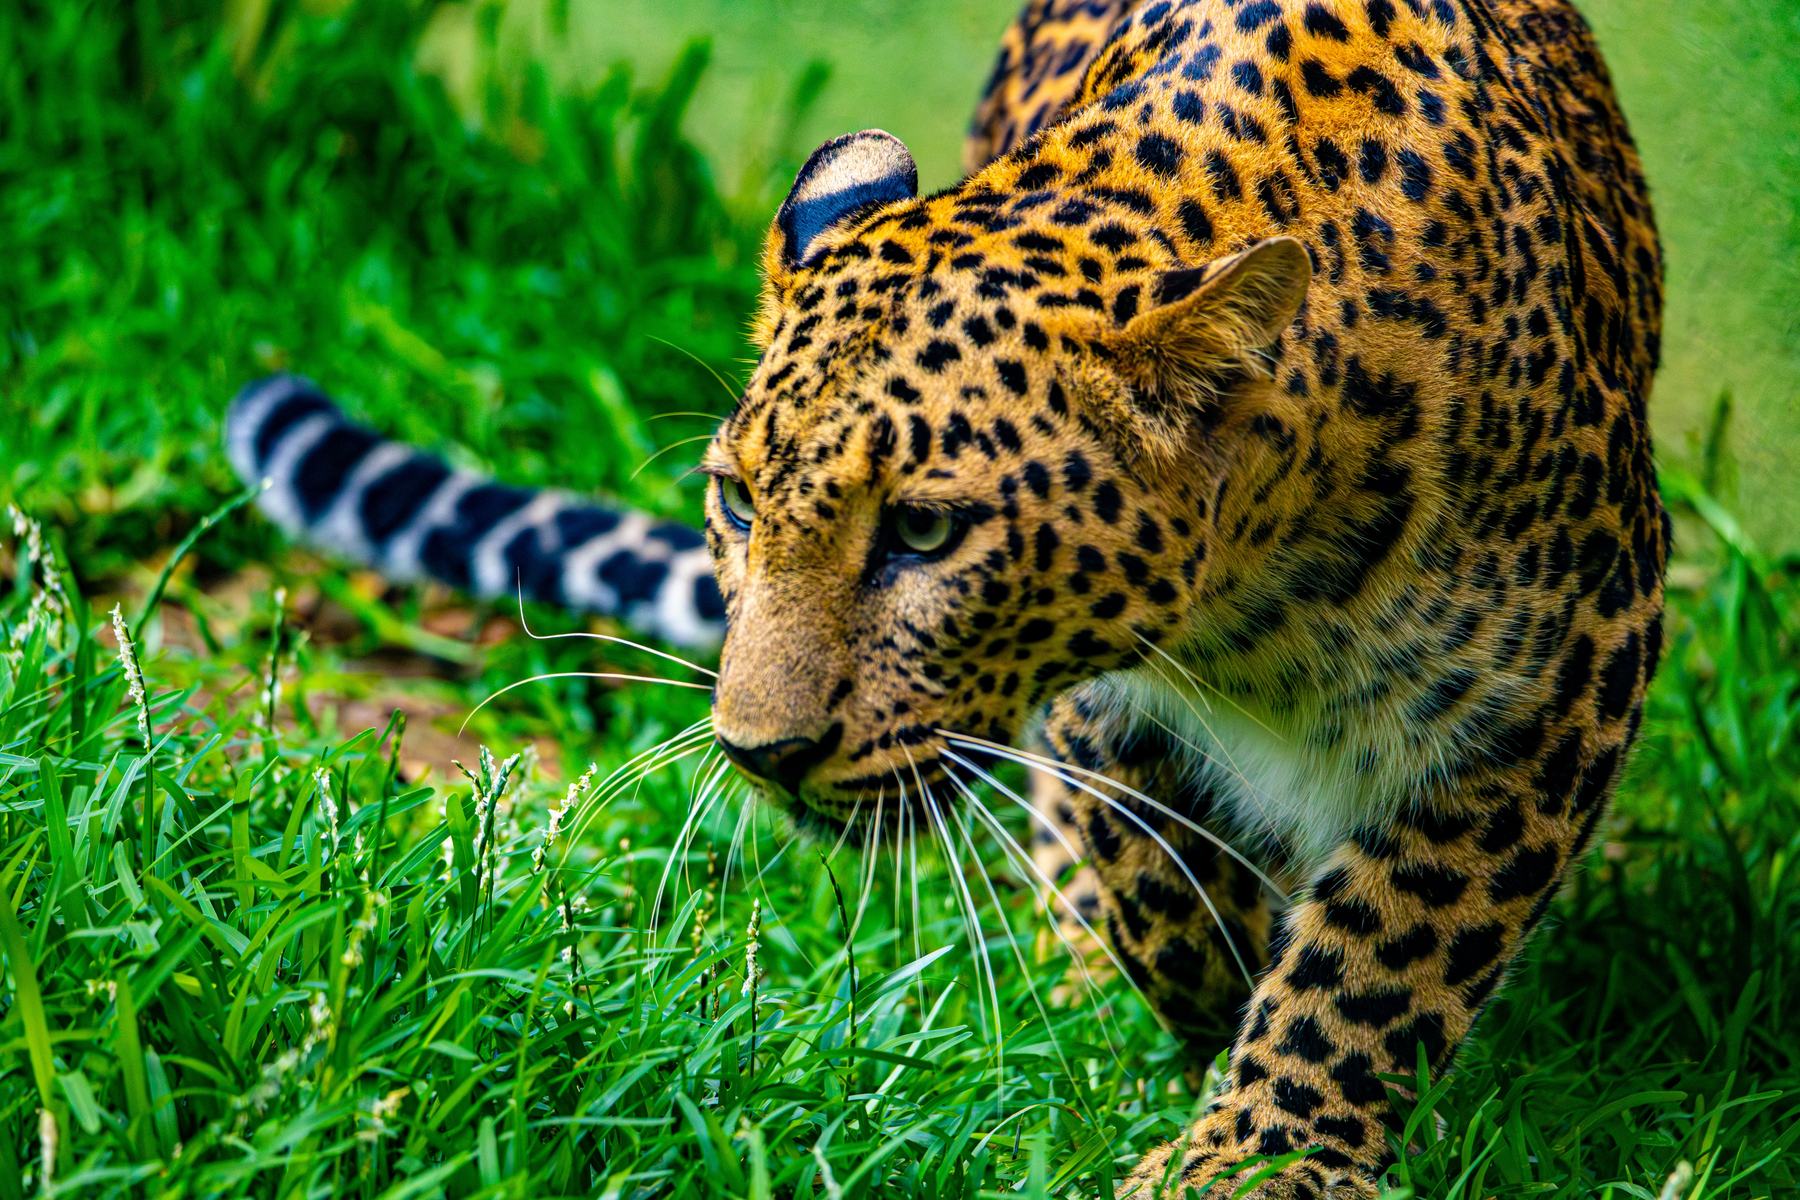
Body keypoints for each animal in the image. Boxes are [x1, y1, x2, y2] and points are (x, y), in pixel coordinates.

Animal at [227, 1, 1665, 1194]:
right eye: (739, 502)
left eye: (923, 531)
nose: (758, 752)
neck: (1252, 605)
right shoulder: (1099, 700)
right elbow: (1149, 871)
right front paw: (1189, 999)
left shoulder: (1562, 677)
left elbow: (1386, 952)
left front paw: (1258, 1156)